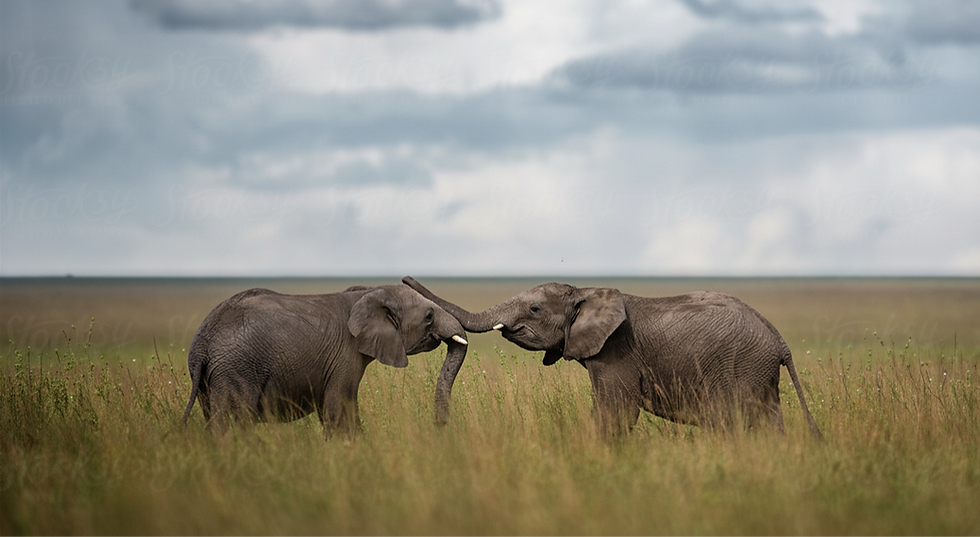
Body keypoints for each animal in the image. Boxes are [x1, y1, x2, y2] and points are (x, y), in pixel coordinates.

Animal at [181, 284, 469, 437]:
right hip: (236, 371)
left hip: (213, 377)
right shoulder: (344, 355)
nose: (440, 425)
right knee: (234, 423)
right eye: (429, 316)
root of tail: (201, 345)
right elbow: (339, 409)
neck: (369, 293)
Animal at [404, 276, 823, 439]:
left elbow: (616, 410)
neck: (585, 291)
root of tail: (780, 341)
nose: (406, 279)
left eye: (535, 309)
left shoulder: (617, 350)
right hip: (758, 373)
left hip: (742, 368)